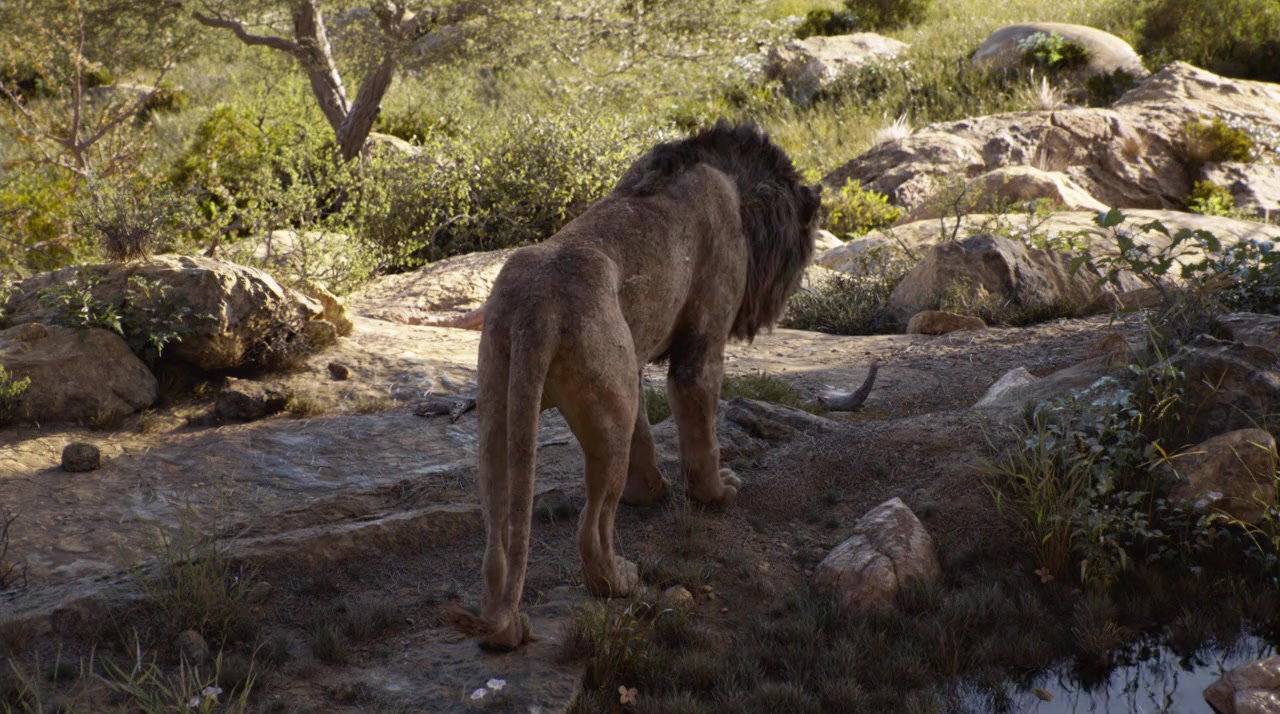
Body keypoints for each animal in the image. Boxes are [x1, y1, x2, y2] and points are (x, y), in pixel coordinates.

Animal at [449, 121, 820, 650]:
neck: (725, 171)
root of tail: (536, 308)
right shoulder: (700, 344)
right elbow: (702, 433)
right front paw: (717, 492)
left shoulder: (634, 361)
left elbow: (647, 435)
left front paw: (652, 491)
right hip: (606, 417)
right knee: (591, 528)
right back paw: (620, 581)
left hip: (510, 403)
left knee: (498, 543)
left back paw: (508, 629)